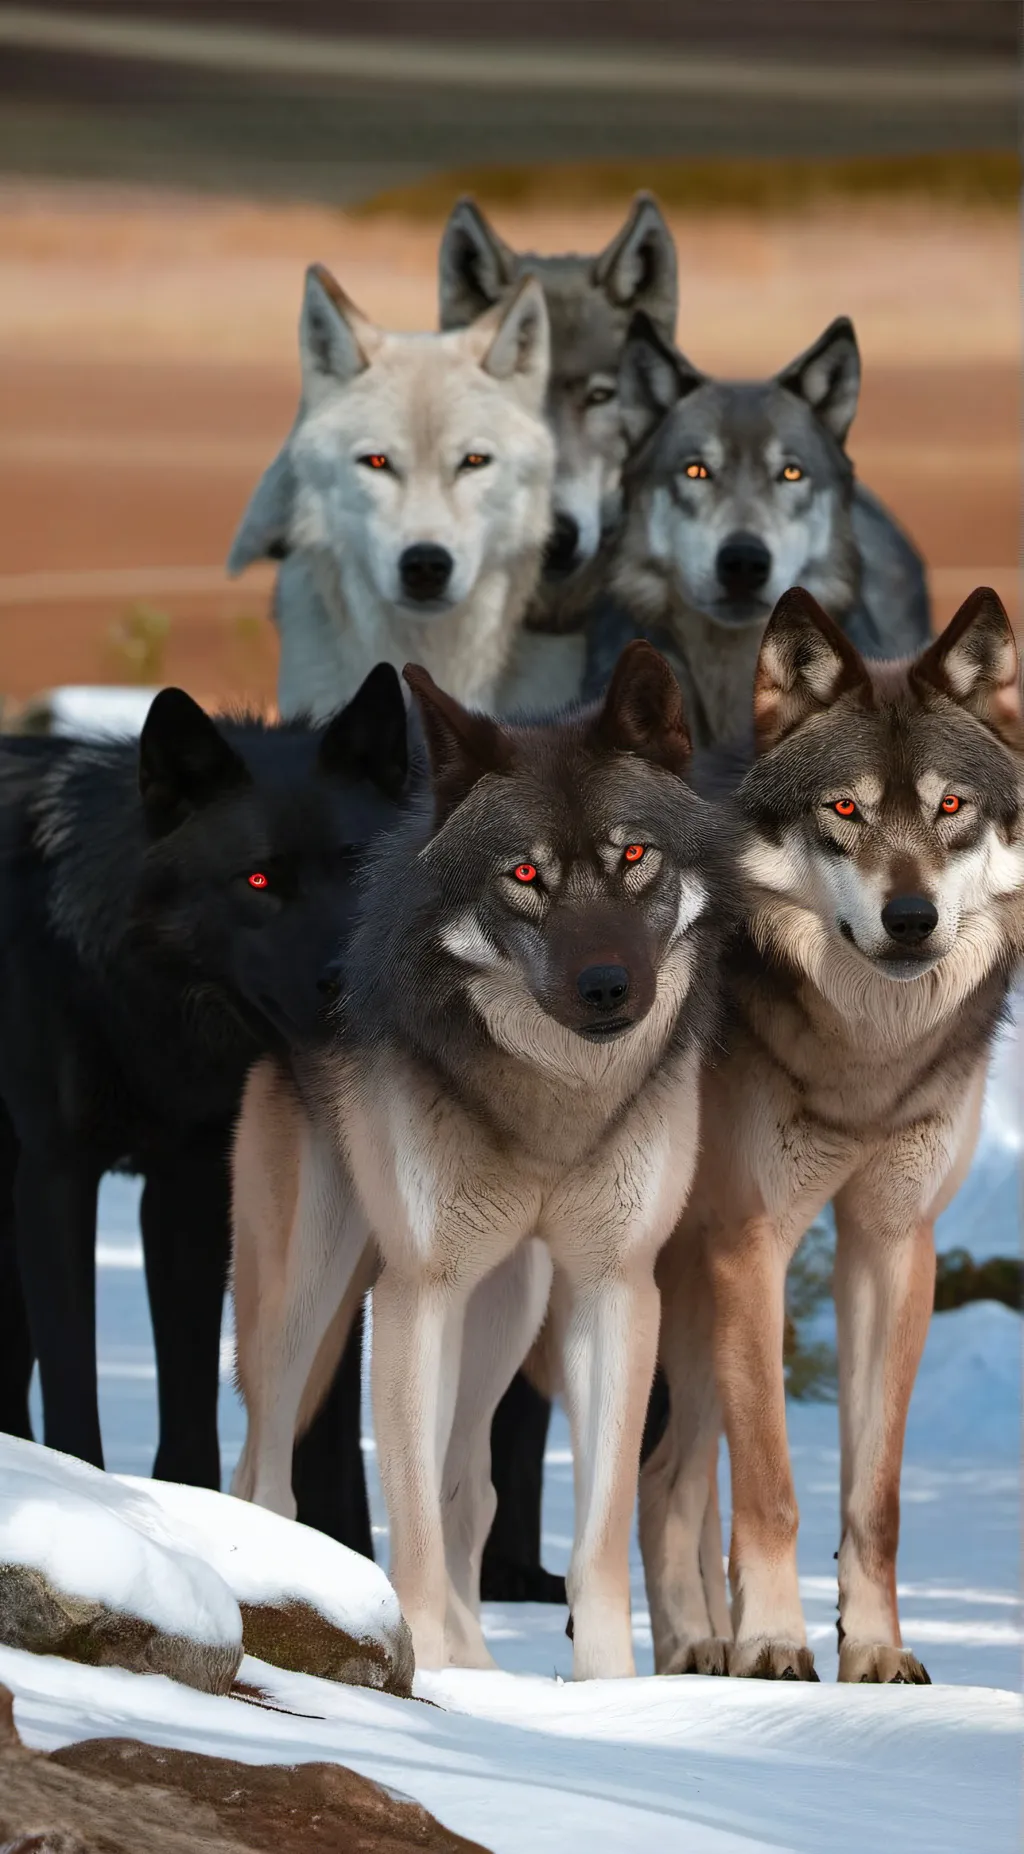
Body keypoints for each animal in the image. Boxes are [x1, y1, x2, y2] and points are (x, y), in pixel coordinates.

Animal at [0, 667, 408, 1549]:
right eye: (258, 881)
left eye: (358, 869)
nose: (353, 982)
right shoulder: (56, 1177)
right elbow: (75, 1390)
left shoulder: (190, 1184)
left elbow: (205, 1413)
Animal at [229, 641, 739, 1676]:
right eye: (524, 873)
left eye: (634, 856)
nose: (607, 987)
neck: (552, 1105)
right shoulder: (418, 1289)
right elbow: (413, 1523)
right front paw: (425, 1676)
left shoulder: (615, 1288)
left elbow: (594, 1538)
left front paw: (610, 1695)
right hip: (307, 1301)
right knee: (268, 1469)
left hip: (507, 1309)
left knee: (471, 1485)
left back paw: (482, 1666)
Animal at [640, 585, 1024, 1683]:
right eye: (843, 810)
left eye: (950, 808)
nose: (911, 917)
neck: (866, 1062)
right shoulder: (751, 1248)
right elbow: (771, 1487)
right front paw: (775, 1643)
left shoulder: (893, 1247)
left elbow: (875, 1499)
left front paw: (876, 1656)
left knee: (670, 1484)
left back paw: (695, 1650)